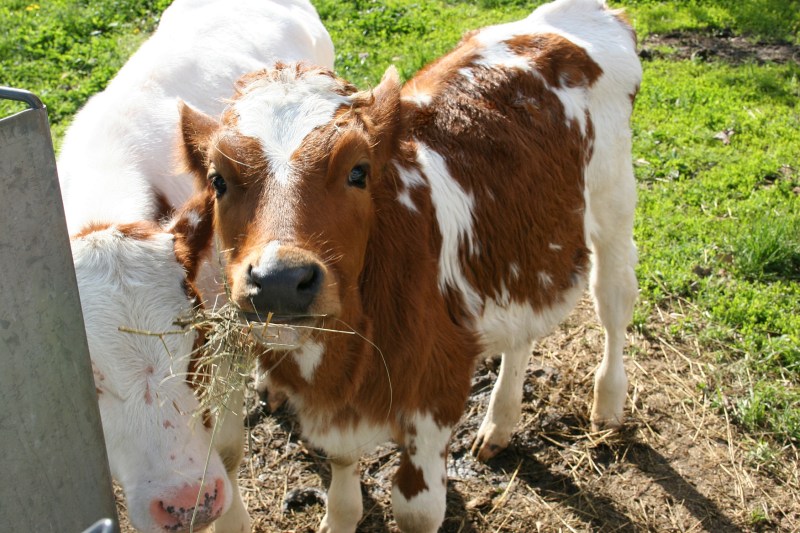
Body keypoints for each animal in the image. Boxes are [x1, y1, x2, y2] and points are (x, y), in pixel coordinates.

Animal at [179, 0, 641, 531]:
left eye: (359, 171)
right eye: (218, 180)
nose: (279, 280)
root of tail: (584, 14)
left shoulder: (435, 392)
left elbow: (415, 510)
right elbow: (342, 464)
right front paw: (341, 515)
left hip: (613, 201)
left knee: (614, 301)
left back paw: (608, 404)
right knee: (522, 332)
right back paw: (500, 423)